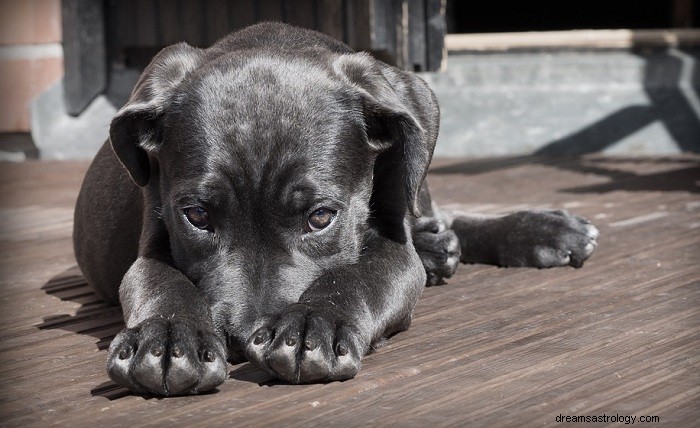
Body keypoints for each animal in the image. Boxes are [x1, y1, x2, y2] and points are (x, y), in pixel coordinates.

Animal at [71, 21, 600, 396]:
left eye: (321, 217)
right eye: (197, 217)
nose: (242, 339)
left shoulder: (393, 248)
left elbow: (358, 274)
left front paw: (312, 324)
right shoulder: (152, 240)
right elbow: (160, 280)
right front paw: (166, 337)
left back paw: (540, 231)